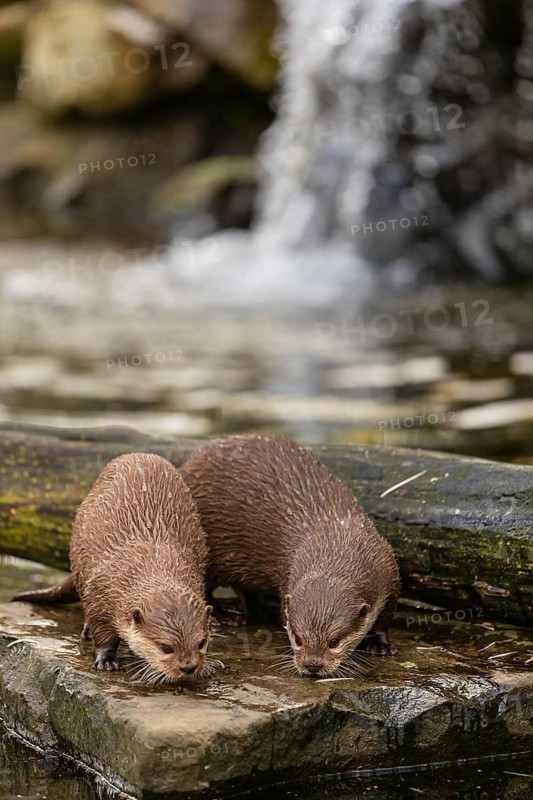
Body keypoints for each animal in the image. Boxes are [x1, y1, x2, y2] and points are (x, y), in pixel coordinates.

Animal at [14, 453, 213, 683]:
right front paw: (106, 659)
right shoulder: (101, 592)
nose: (189, 667)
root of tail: (137, 454)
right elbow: (103, 632)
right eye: (166, 647)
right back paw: (87, 631)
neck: (152, 563)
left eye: (201, 642)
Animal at [180, 435, 400, 678]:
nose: (312, 665)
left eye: (334, 641)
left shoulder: (389, 572)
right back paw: (226, 616)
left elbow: (385, 618)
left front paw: (381, 645)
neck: (338, 539)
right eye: (297, 638)